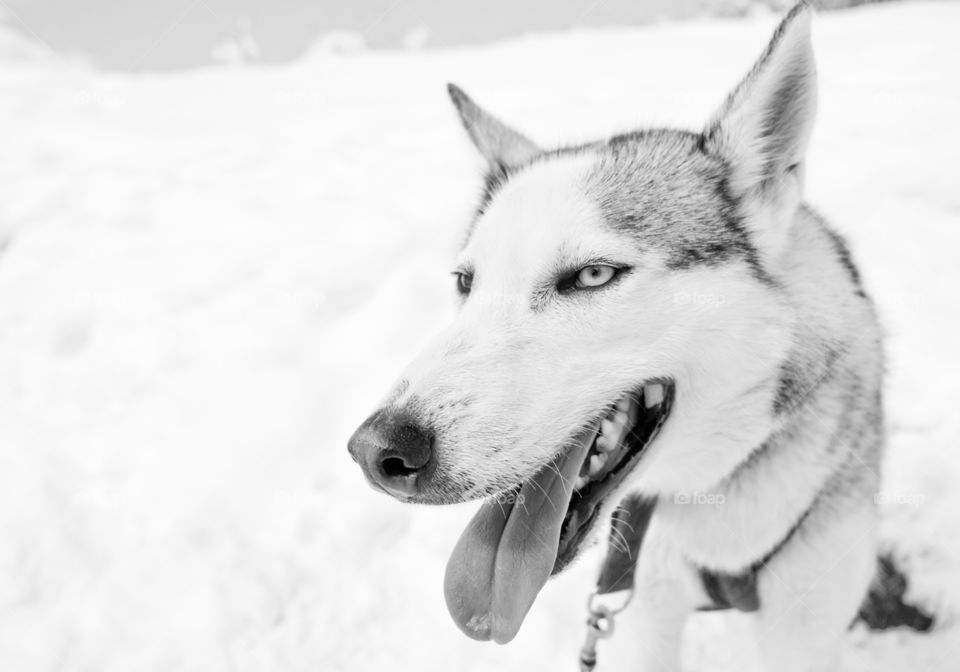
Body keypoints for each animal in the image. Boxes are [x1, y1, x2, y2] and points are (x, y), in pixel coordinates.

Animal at [348, 3, 928, 668]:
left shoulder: (800, 629)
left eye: (593, 275)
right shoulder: (648, 600)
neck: (713, 488)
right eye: (466, 282)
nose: (376, 451)